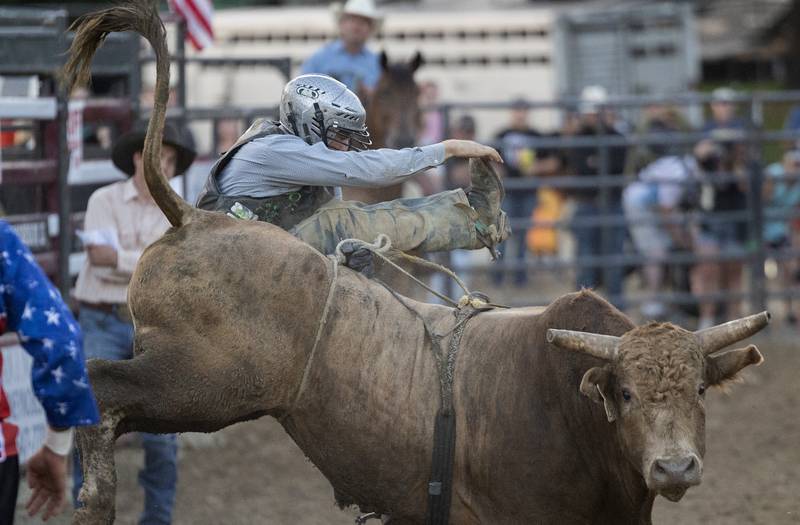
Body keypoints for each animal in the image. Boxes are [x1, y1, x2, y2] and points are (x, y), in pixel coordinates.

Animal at [64, 2, 768, 520]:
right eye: (623, 391)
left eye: (699, 388)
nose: (674, 467)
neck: (570, 403)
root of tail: (191, 217)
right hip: (204, 380)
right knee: (100, 387)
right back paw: (95, 500)